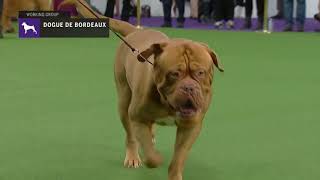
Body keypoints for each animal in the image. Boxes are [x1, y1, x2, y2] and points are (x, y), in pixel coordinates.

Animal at [60, 0, 224, 179]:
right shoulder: (137, 117)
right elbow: (150, 155)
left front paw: (174, 172)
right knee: (131, 135)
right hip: (124, 102)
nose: (189, 87)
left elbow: (179, 157)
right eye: (174, 74)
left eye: (200, 73)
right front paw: (154, 158)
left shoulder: (191, 125)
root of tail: (136, 30)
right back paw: (133, 156)